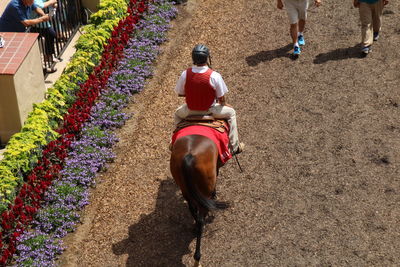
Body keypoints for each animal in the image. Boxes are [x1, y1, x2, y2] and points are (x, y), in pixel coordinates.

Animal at [170, 135, 230, 266]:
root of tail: (189, 157)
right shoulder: (216, 166)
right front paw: (215, 195)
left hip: (186, 190)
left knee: (193, 211)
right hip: (204, 188)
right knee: (201, 218)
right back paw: (197, 257)